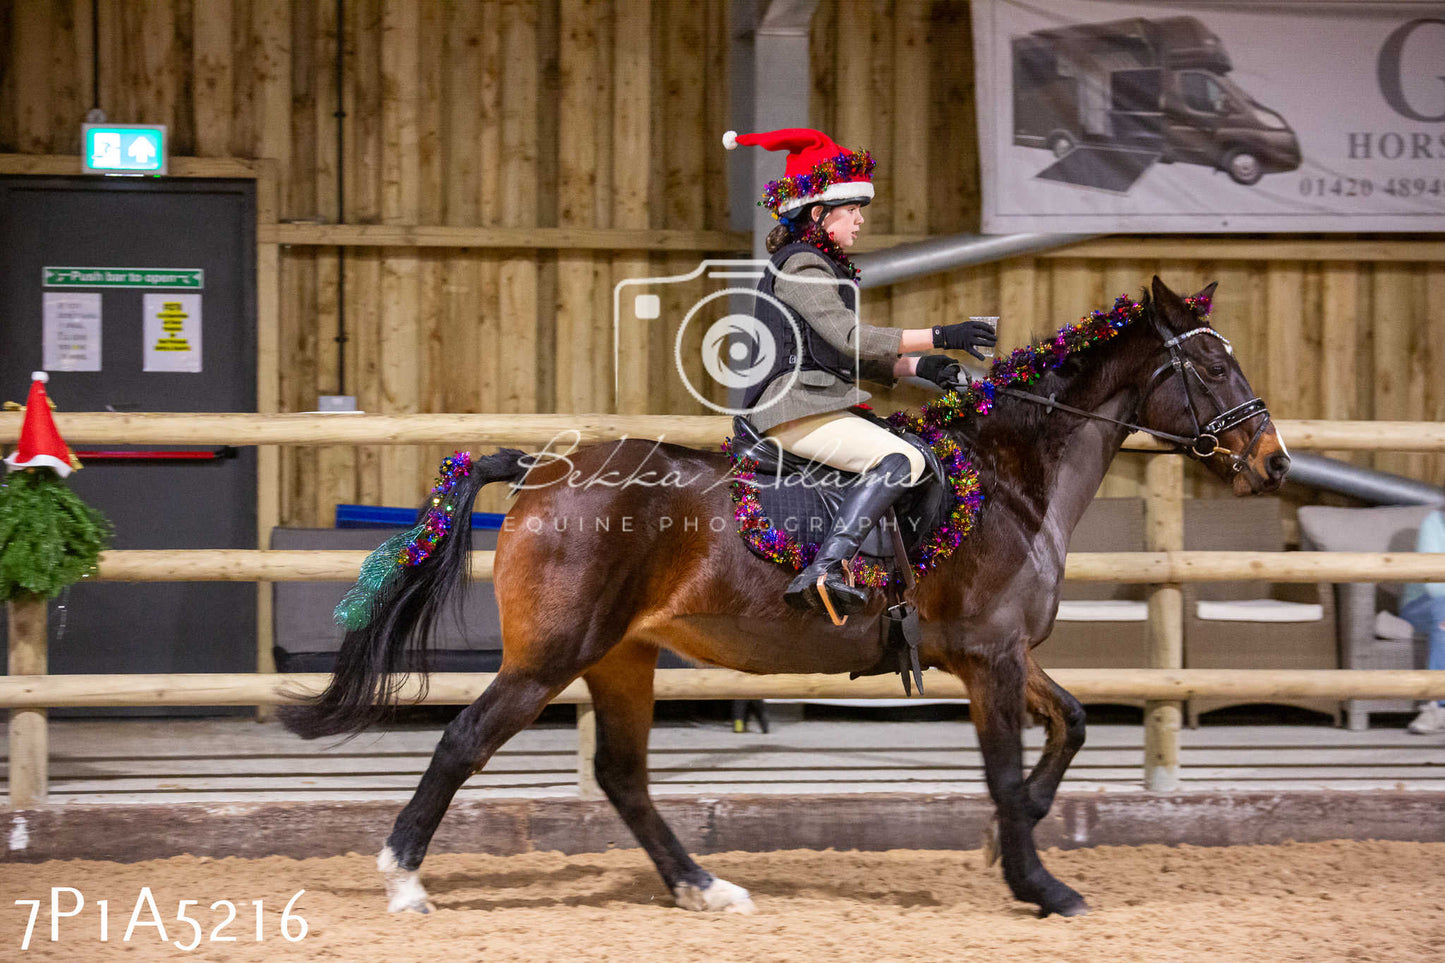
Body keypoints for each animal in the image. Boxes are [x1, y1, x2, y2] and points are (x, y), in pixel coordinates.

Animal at [278, 276, 1288, 913]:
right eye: (1211, 368)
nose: (1273, 462)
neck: (1010, 479)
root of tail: (541, 466)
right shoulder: (988, 656)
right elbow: (1005, 768)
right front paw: (1039, 884)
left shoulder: (995, 654)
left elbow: (1070, 724)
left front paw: (1012, 842)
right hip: (549, 657)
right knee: (464, 741)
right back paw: (405, 879)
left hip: (621, 655)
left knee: (623, 775)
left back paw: (703, 886)